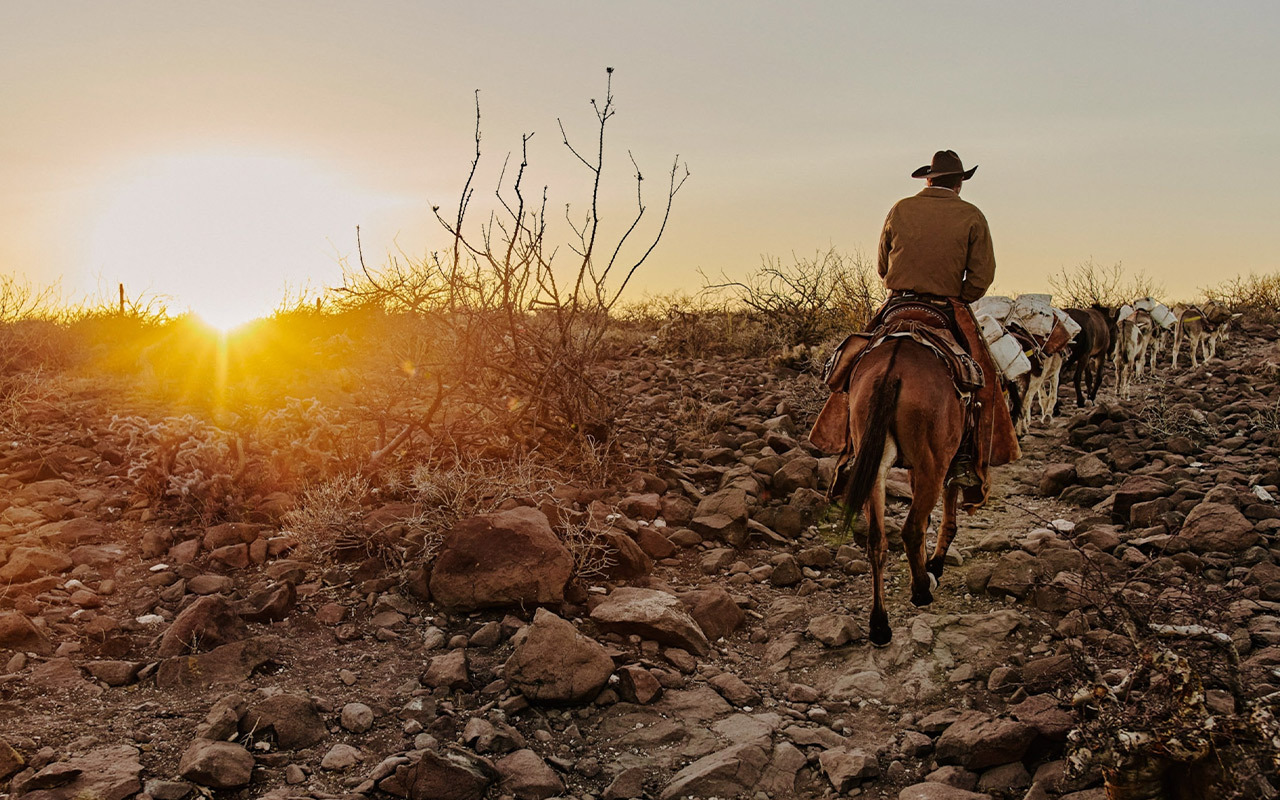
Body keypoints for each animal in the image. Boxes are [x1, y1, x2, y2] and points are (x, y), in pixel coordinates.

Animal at [839, 332, 962, 645]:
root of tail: (891, 371)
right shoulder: (951, 460)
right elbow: (946, 511)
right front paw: (934, 565)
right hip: (932, 464)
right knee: (911, 529)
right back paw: (921, 590)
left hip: (874, 463)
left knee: (876, 540)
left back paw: (879, 625)